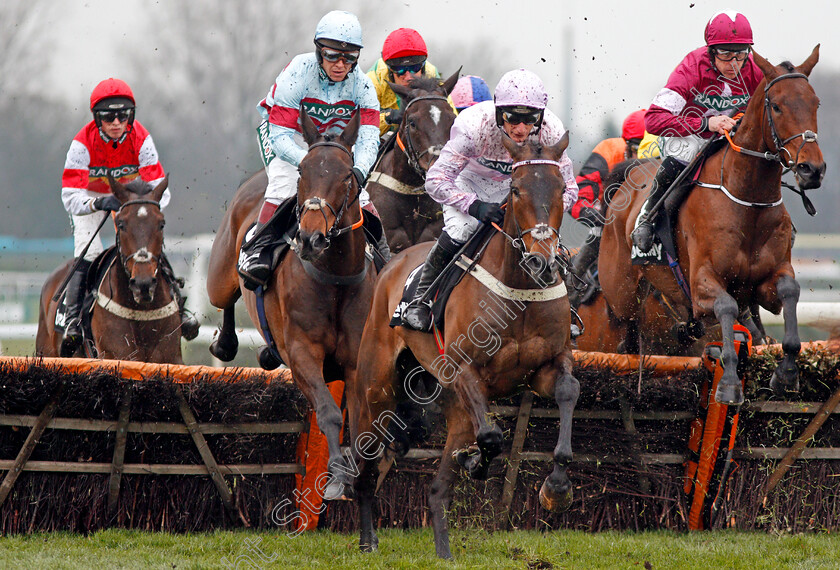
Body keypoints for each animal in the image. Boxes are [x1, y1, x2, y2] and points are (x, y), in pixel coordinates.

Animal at [36, 175, 184, 362]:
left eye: (161, 224)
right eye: (121, 224)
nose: (143, 284)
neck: (142, 314)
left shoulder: (171, 357)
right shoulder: (117, 355)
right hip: (46, 351)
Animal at [207, 105, 374, 496]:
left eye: (347, 177)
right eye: (301, 172)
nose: (312, 238)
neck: (335, 279)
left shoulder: (356, 361)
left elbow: (357, 420)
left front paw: (354, 473)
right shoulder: (302, 354)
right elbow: (328, 412)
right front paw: (336, 475)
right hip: (219, 276)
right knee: (225, 297)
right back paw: (226, 343)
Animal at [346, 134, 576, 556]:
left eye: (561, 189)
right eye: (516, 190)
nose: (541, 262)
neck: (519, 286)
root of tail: (393, 262)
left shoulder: (547, 365)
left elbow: (568, 391)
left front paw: (557, 488)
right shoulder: (465, 368)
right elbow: (491, 437)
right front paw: (475, 462)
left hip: (449, 405)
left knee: (437, 490)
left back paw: (443, 551)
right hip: (376, 387)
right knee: (367, 462)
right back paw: (368, 539)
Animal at [600, 47, 824, 404]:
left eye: (815, 103)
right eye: (776, 105)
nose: (811, 169)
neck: (747, 201)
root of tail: (630, 176)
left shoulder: (768, 282)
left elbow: (789, 292)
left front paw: (786, 373)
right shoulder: (703, 282)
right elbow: (725, 306)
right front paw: (730, 382)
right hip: (621, 295)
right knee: (627, 334)